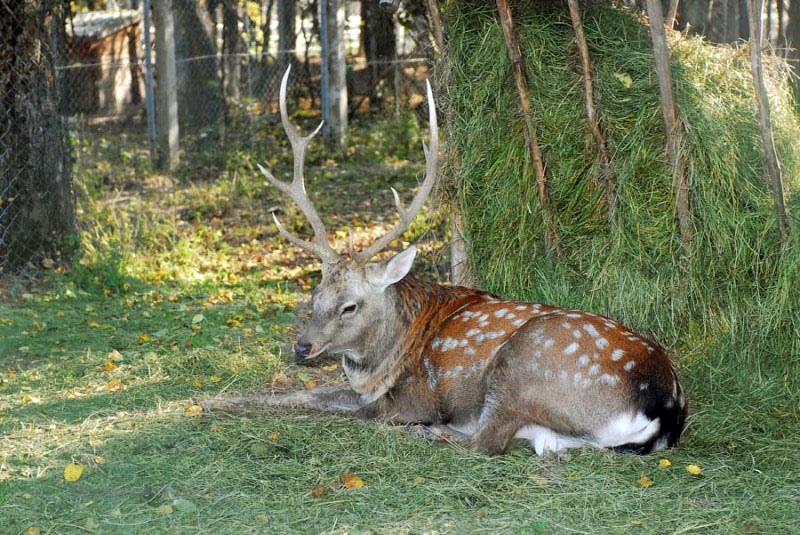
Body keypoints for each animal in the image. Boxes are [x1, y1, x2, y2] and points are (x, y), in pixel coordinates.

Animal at [200, 67, 688, 458]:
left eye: (350, 305)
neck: (385, 360)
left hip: (522, 367)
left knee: (484, 443)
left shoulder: (409, 397)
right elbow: (302, 394)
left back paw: (429, 433)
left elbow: (342, 408)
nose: (303, 347)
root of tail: (663, 406)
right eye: (315, 294)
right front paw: (208, 400)